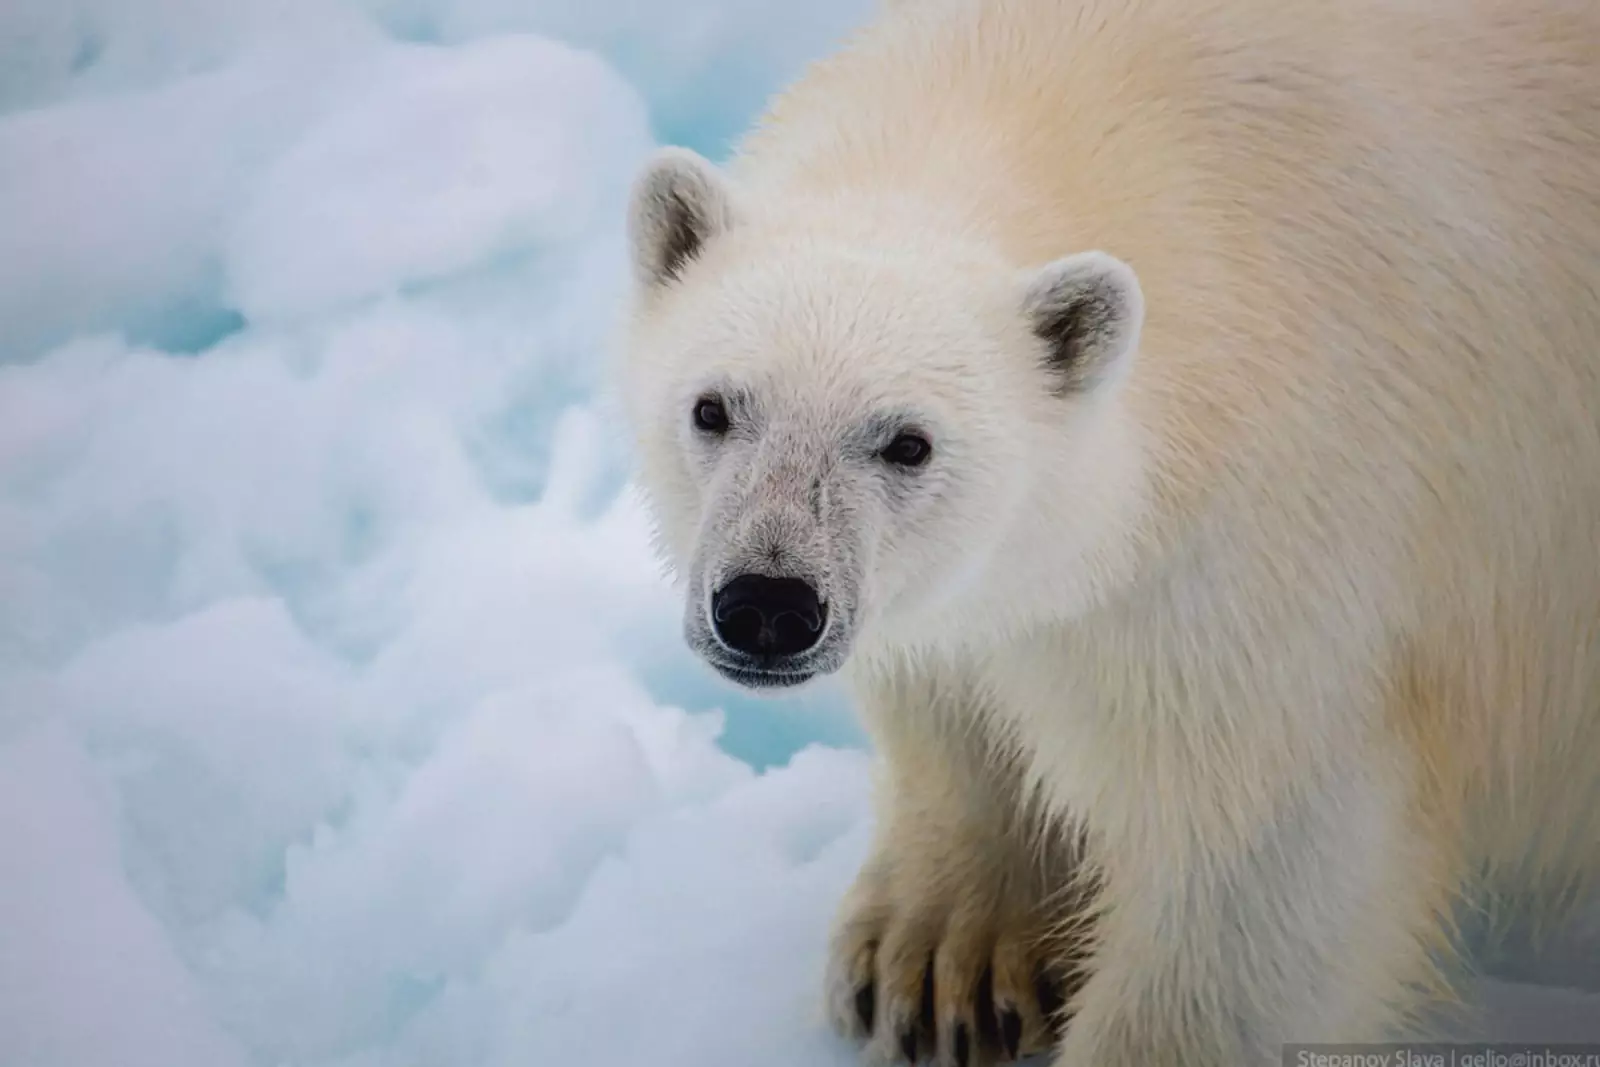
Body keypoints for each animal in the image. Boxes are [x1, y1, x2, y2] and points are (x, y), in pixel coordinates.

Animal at [608, 2, 1600, 1067]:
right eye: (713, 407)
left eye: (909, 441)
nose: (767, 603)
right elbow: (961, 687)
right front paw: (940, 960)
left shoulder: (1289, 550)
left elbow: (1261, 866)